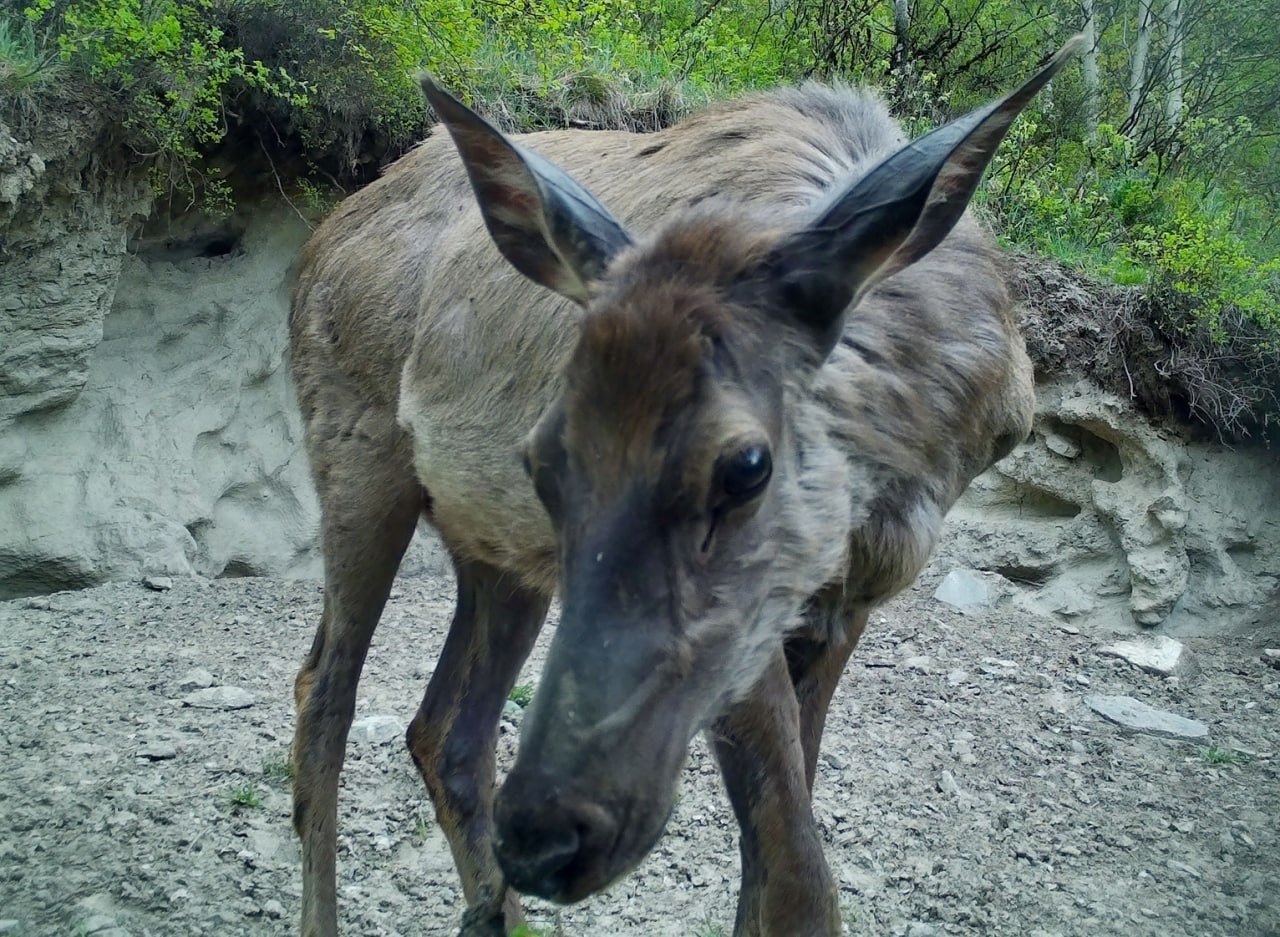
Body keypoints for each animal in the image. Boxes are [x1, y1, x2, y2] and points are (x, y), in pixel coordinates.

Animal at [288, 36, 1080, 937]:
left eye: (746, 466)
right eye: (545, 455)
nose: (548, 834)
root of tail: (313, 246)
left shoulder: (843, 602)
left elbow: (770, 863)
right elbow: (799, 878)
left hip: (495, 549)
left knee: (445, 729)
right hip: (357, 456)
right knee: (324, 695)